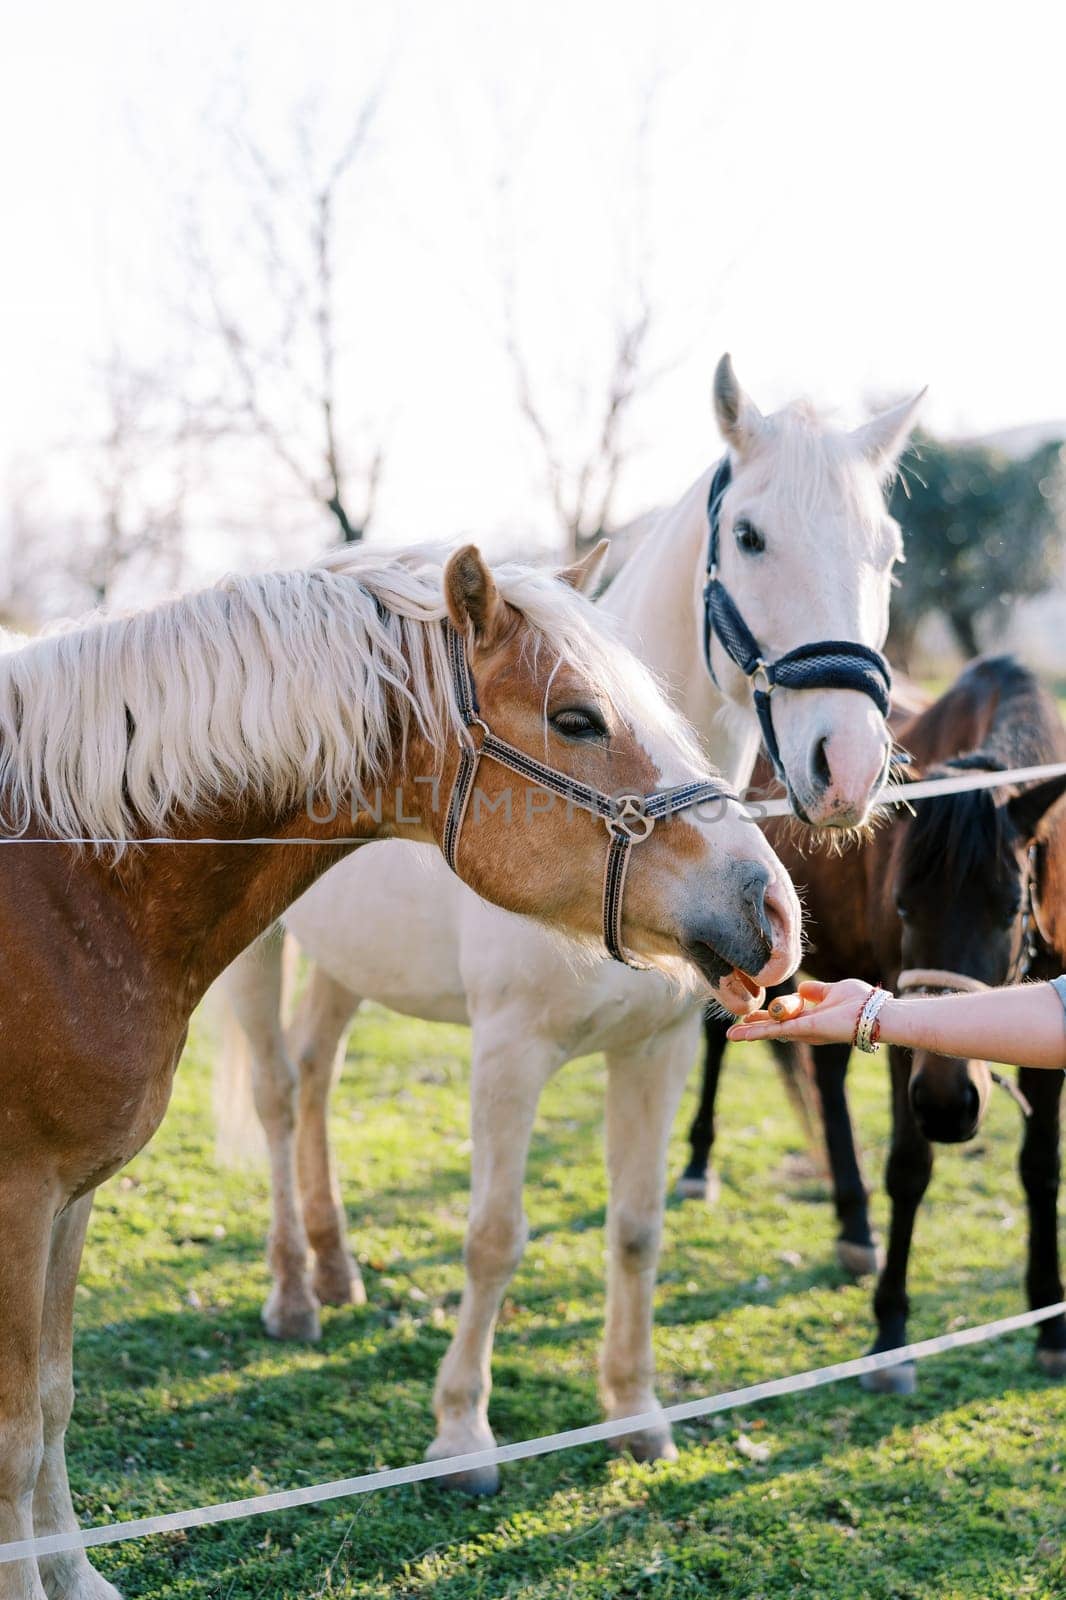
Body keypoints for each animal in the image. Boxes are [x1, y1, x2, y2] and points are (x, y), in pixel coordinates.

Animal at [0, 547, 797, 1600]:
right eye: (578, 718)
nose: (774, 904)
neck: (70, 886)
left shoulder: (71, 1197)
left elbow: (54, 1398)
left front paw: (76, 1579)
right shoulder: (20, 1201)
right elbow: (15, 1434)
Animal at [217, 356, 921, 1491]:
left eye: (888, 554)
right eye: (751, 535)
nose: (848, 765)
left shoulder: (657, 1053)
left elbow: (635, 1228)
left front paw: (633, 1410)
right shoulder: (509, 1053)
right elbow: (493, 1236)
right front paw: (461, 1433)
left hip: (346, 967)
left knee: (317, 1077)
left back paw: (333, 1265)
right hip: (258, 952)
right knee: (280, 1099)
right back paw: (291, 1294)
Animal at [681, 662, 1062, 1388]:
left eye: (1009, 909)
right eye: (905, 907)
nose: (946, 1105)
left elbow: (1040, 1168)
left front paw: (1048, 1318)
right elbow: (909, 1168)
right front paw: (891, 1334)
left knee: (826, 1075)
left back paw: (854, 1228)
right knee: (720, 1040)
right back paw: (698, 1167)